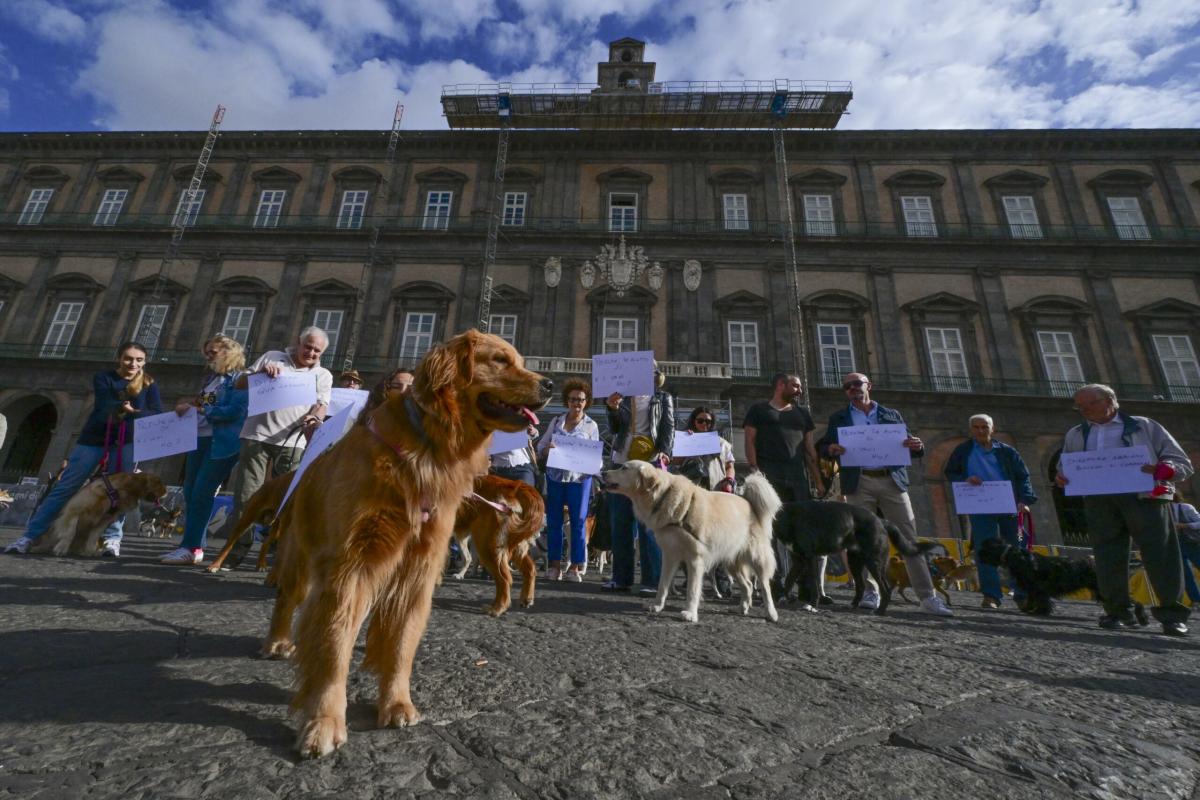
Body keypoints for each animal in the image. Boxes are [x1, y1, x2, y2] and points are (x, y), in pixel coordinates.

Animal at [34, 472, 168, 554]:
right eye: (158, 482)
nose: (167, 491)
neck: (116, 491)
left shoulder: (105, 519)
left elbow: (94, 535)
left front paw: (89, 551)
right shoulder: (74, 510)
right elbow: (70, 532)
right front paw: (62, 548)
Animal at [448, 474, 547, 618]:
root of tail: (515, 486)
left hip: (486, 545)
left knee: (504, 578)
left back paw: (497, 608)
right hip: (513, 545)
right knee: (530, 569)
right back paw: (526, 598)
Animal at [604, 462, 782, 623]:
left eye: (624, 468)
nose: (603, 472)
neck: (664, 497)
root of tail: (749, 503)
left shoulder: (695, 559)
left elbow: (692, 589)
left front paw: (690, 613)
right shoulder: (670, 556)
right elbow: (663, 585)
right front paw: (657, 606)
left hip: (756, 558)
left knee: (765, 587)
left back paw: (771, 613)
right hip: (731, 562)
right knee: (748, 585)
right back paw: (743, 607)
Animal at [772, 501, 940, 618]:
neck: (786, 516)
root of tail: (880, 521)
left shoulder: (810, 558)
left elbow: (813, 584)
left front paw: (812, 606)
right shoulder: (798, 561)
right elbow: (788, 581)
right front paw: (784, 598)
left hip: (874, 563)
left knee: (885, 589)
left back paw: (879, 612)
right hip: (854, 561)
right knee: (860, 586)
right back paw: (852, 605)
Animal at [974, 537, 1152, 623]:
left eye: (985, 549)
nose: (977, 555)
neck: (1014, 556)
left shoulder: (1038, 587)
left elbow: (1041, 600)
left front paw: (1040, 612)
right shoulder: (1033, 588)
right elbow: (1032, 599)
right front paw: (1029, 609)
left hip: (1101, 588)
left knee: (1132, 601)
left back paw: (1140, 617)